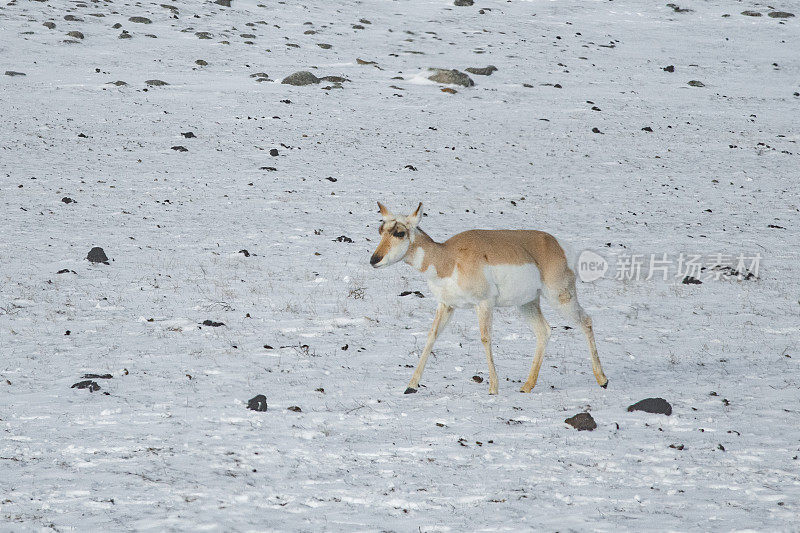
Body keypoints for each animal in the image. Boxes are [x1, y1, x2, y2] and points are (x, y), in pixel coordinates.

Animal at [372, 203, 608, 394]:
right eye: (380, 229)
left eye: (399, 232)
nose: (374, 259)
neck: (447, 258)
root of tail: (557, 244)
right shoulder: (446, 305)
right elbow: (431, 336)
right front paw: (411, 386)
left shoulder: (483, 304)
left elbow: (486, 338)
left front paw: (493, 388)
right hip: (527, 304)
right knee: (544, 331)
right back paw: (527, 386)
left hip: (560, 297)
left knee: (586, 321)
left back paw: (602, 380)